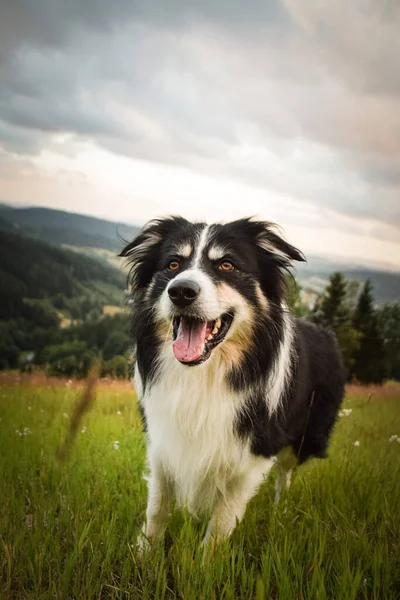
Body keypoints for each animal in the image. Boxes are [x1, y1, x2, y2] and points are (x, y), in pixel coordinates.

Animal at [120, 218, 346, 552]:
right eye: (173, 264)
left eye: (227, 265)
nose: (181, 291)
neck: (205, 375)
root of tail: (328, 335)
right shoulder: (164, 438)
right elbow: (157, 509)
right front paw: (145, 554)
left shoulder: (251, 457)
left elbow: (221, 523)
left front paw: (204, 564)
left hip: (305, 434)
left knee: (286, 474)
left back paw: (280, 513)